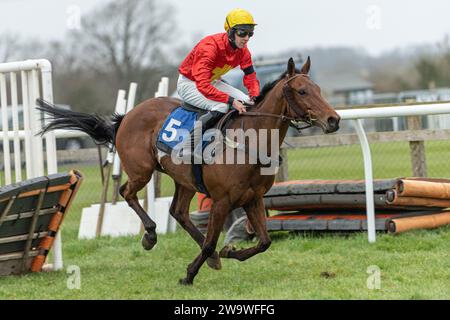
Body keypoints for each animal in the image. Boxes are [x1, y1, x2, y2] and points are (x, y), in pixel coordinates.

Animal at [38, 58, 340, 284]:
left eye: (318, 89)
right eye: (302, 91)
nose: (333, 120)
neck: (249, 141)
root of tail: (126, 116)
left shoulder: (253, 198)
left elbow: (264, 242)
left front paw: (228, 252)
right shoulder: (222, 201)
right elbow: (210, 242)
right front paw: (189, 275)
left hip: (184, 180)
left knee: (179, 212)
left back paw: (212, 257)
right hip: (141, 171)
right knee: (127, 192)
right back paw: (150, 235)